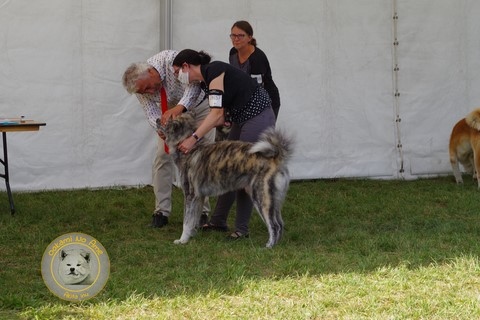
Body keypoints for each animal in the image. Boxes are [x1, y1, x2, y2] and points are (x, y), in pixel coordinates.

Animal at [160, 112, 292, 248]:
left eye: (166, 122)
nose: (158, 119)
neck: (192, 148)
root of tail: (276, 158)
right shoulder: (199, 198)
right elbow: (193, 220)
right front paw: (192, 235)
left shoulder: (190, 195)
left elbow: (186, 221)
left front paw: (182, 240)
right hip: (274, 201)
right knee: (280, 224)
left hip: (262, 198)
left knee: (274, 225)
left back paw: (268, 247)